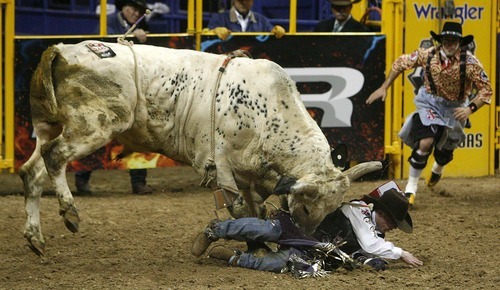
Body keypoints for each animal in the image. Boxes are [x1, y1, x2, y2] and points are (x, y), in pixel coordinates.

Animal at [18, 39, 378, 255]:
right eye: (304, 209)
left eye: (328, 212)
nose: (305, 243)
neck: (266, 112)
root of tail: (62, 49)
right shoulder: (220, 166)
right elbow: (239, 210)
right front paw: (253, 244)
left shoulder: (252, 175)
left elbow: (257, 211)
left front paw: (256, 244)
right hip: (95, 125)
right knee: (55, 157)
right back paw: (70, 213)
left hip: (48, 126)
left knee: (31, 171)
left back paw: (35, 238)